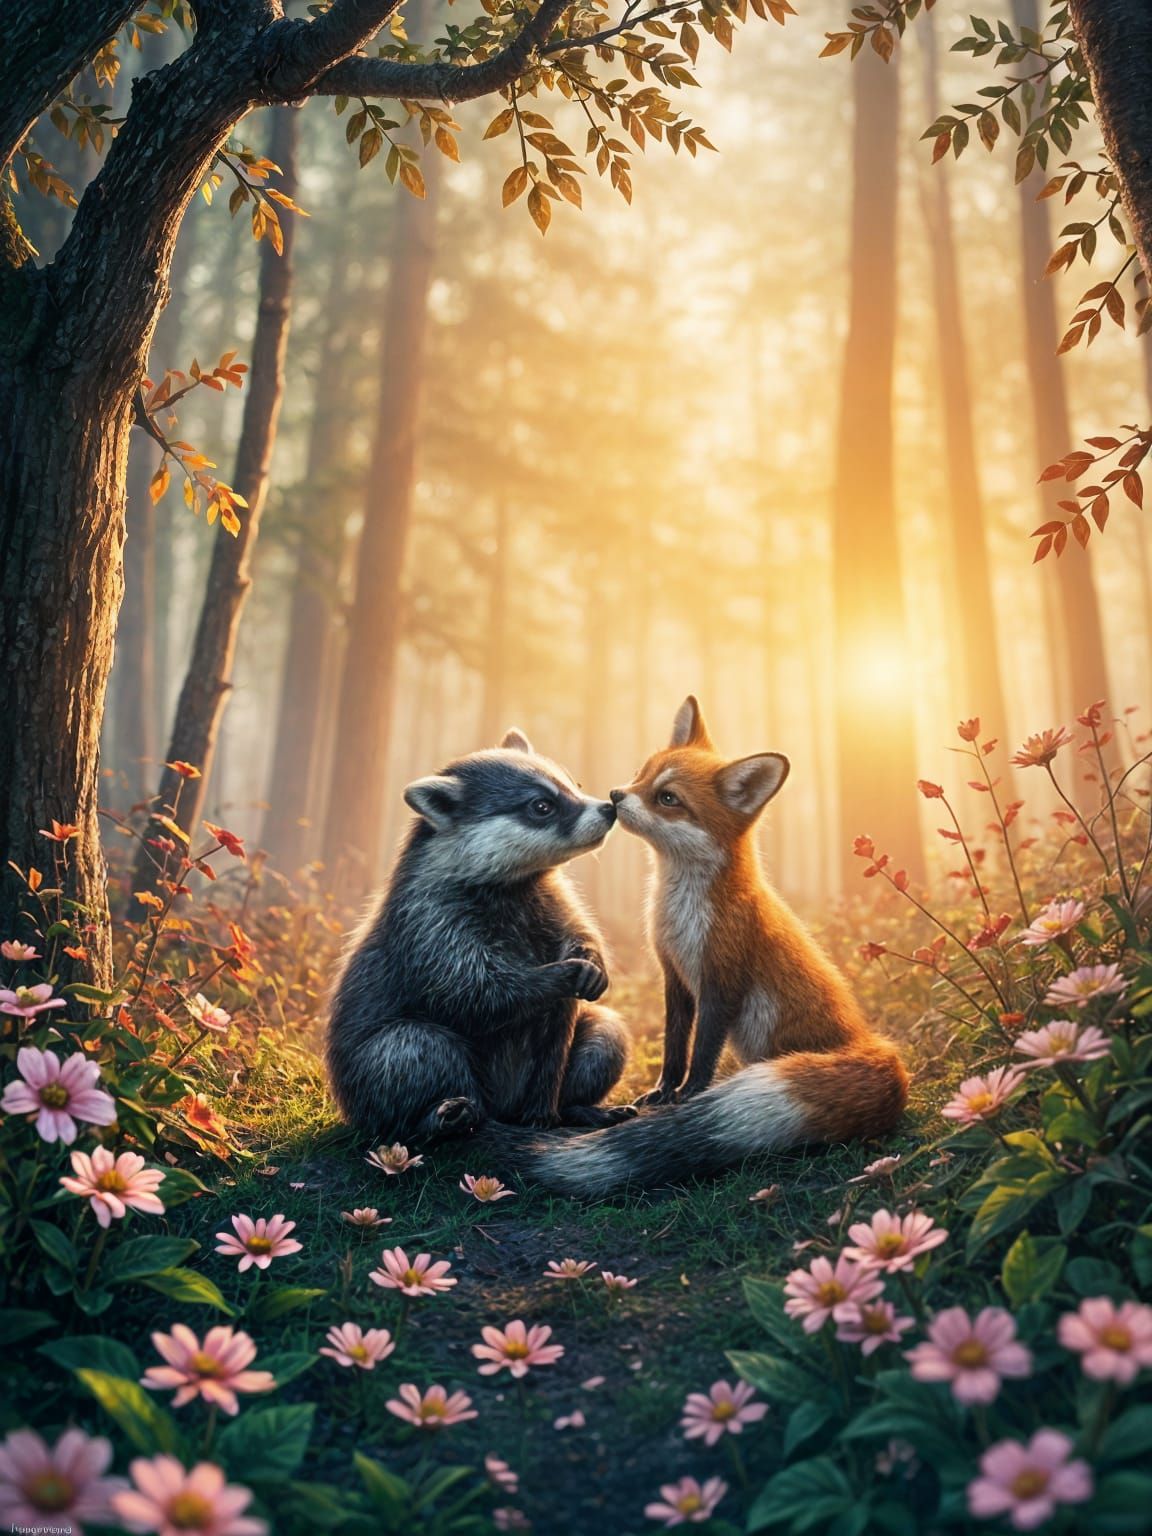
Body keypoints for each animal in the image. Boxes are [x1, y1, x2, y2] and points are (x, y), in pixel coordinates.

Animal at [326, 729, 636, 1144]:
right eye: (542, 806)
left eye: (574, 784)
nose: (608, 809)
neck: (515, 883)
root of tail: (506, 1109)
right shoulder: (431, 919)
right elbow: (474, 990)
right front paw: (557, 974)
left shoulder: (548, 897)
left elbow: (579, 928)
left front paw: (590, 958)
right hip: (367, 1080)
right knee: (414, 1048)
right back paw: (438, 1119)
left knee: (605, 1034)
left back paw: (575, 1107)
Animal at [527, 696, 908, 1196]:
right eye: (641, 773)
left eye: (668, 798)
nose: (614, 795)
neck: (683, 915)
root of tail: (872, 1045)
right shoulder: (674, 976)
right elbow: (674, 1046)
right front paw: (664, 1093)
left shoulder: (721, 982)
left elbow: (703, 1052)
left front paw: (689, 1096)